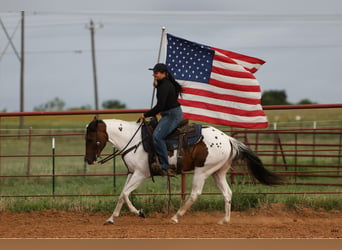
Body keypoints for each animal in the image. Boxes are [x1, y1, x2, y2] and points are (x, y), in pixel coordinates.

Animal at [84, 117, 282, 225]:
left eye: (90, 138)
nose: (89, 160)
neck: (133, 140)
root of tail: (228, 139)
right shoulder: (131, 173)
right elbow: (121, 195)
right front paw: (111, 219)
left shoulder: (141, 174)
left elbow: (125, 194)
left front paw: (139, 213)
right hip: (218, 172)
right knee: (227, 193)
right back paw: (224, 220)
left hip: (202, 171)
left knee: (195, 194)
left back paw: (175, 217)